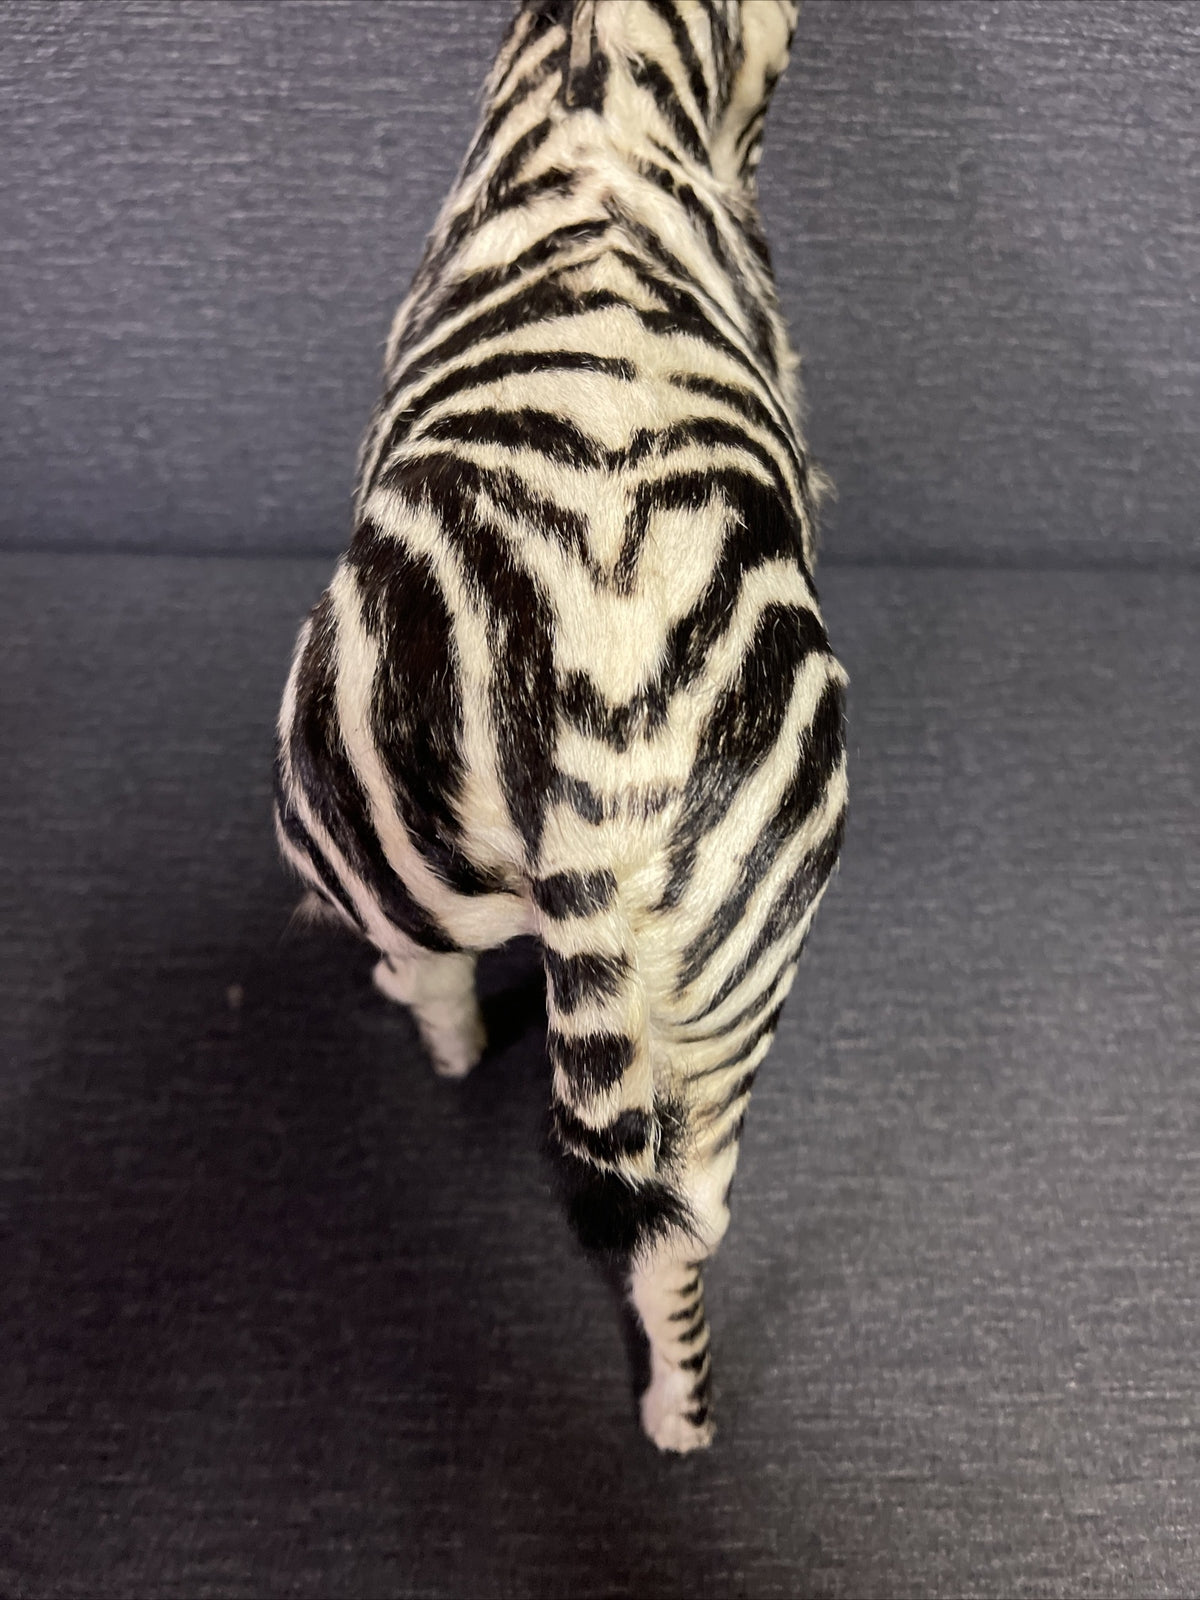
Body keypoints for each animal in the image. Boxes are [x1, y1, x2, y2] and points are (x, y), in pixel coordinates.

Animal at [275, 0, 847, 1454]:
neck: (599, 66)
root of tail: (596, 739)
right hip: (725, 1007)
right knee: (681, 1234)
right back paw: (680, 1424)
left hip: (343, 803)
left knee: (428, 981)